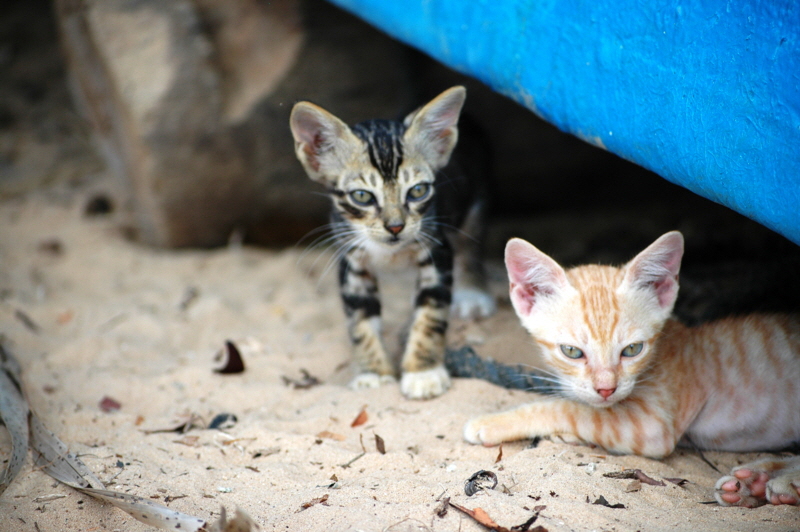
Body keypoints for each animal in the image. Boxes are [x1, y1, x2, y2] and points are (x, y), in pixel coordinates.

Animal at [290, 86, 494, 400]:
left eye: (418, 191)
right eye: (362, 196)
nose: (395, 226)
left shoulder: (437, 249)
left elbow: (430, 314)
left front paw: (423, 372)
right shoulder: (352, 260)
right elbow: (360, 322)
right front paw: (373, 372)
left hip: (477, 199)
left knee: (471, 245)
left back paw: (472, 292)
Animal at [462, 231, 800, 504]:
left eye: (632, 350)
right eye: (572, 352)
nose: (606, 388)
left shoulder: (651, 425)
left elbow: (567, 409)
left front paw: (493, 422)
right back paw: (753, 481)